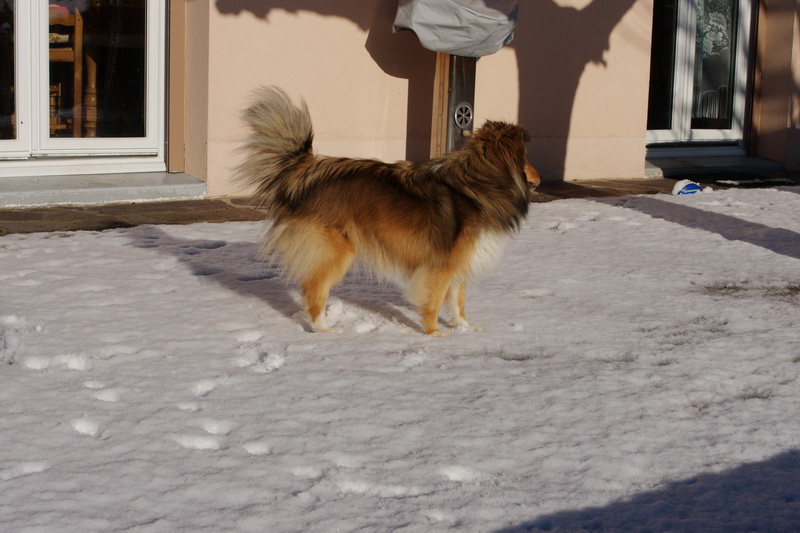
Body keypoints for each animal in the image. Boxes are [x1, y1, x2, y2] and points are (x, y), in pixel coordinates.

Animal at [234, 88, 540, 336]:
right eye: (525, 158)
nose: (539, 179)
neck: (479, 183)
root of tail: (307, 172)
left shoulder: (460, 263)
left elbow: (458, 302)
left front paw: (464, 327)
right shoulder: (440, 266)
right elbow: (435, 301)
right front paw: (435, 334)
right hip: (336, 251)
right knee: (313, 290)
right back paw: (325, 330)